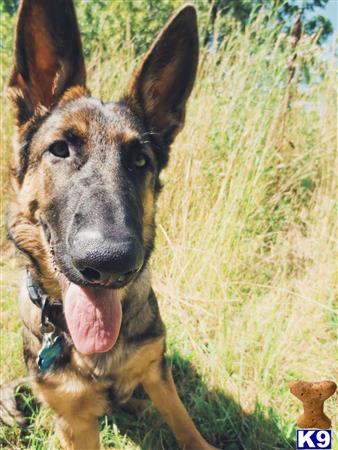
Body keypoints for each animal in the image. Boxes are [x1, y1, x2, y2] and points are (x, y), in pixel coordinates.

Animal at [3, 0, 219, 450]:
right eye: (60, 149)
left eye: (140, 161)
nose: (110, 263)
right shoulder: (75, 421)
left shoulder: (157, 370)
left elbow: (185, 423)